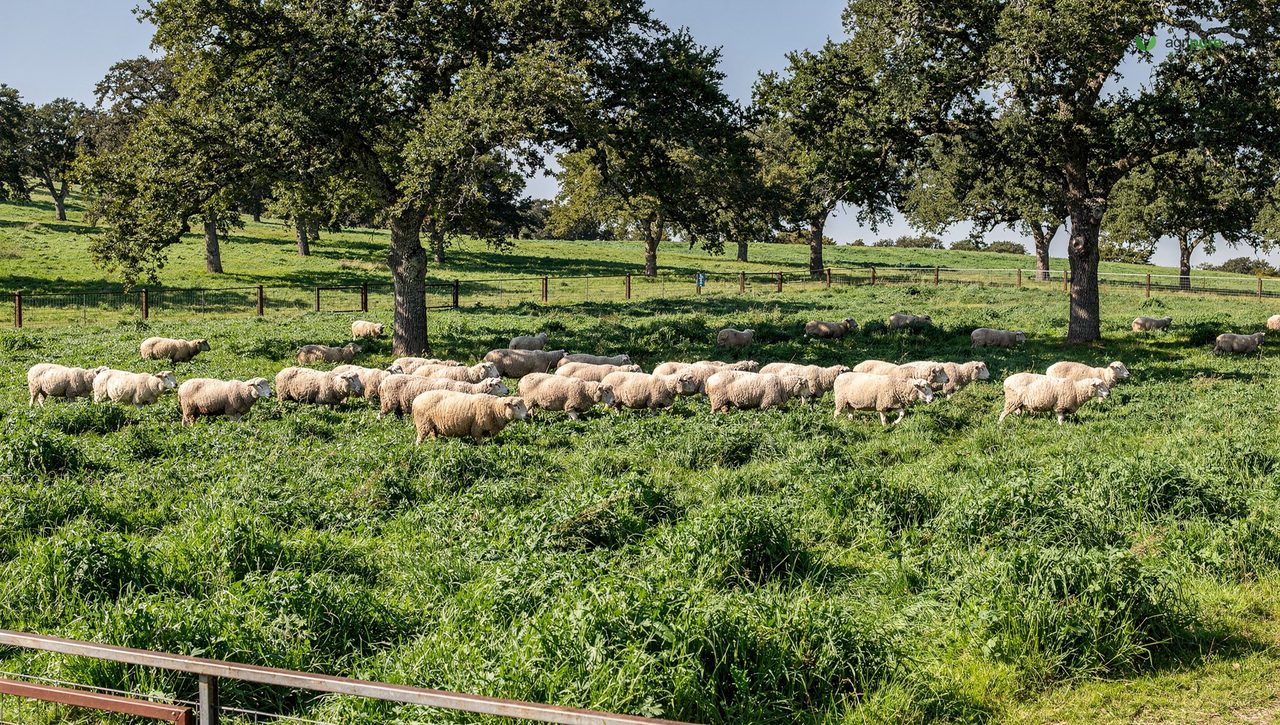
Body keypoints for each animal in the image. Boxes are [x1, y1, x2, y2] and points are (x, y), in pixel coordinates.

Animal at [378, 374, 508, 419]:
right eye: (497, 385)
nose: (508, 390)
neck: (471, 389)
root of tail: (382, 383)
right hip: (388, 401)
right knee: (380, 414)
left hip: (397, 403)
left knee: (398, 414)